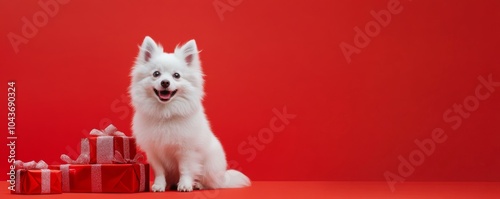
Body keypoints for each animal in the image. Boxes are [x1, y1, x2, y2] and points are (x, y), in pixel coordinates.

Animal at [130, 36, 250, 192]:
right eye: (156, 74)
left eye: (176, 76)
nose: (165, 82)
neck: (166, 113)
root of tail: (224, 178)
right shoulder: (154, 152)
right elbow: (160, 171)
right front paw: (159, 185)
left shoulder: (187, 151)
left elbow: (185, 169)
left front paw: (185, 185)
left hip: (209, 167)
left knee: (212, 183)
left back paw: (198, 185)